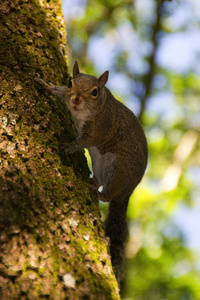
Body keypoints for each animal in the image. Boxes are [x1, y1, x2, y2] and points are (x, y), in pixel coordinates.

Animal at [34, 60, 148, 284]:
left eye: (95, 91)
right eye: (71, 82)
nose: (76, 100)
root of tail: (127, 192)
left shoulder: (98, 130)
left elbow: (82, 142)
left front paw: (68, 147)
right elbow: (60, 91)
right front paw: (45, 85)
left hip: (115, 165)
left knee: (108, 195)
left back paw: (99, 192)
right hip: (99, 163)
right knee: (99, 179)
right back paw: (94, 182)